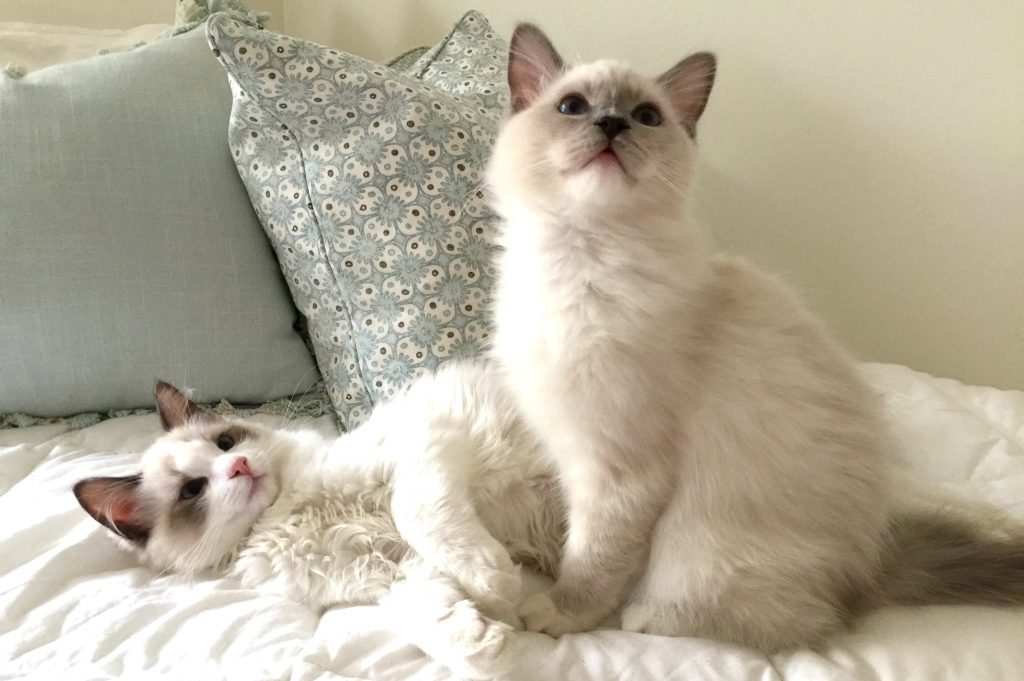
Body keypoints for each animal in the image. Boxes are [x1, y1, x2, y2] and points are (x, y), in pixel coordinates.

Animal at [75, 358, 565, 675]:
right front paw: (485, 645)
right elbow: (421, 614)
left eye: (226, 443)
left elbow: (423, 522)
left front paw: (493, 580)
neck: (283, 513)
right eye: (192, 490)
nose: (240, 467)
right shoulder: (389, 570)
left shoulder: (419, 458)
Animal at [485, 21, 1024, 647]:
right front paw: (543, 557)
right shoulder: (568, 449)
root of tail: (874, 567)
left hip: (702, 548)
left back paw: (649, 615)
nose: (613, 124)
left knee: (800, 621)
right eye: (572, 107)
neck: (580, 260)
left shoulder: (619, 467)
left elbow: (593, 558)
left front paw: (559, 612)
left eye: (646, 116)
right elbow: (572, 534)